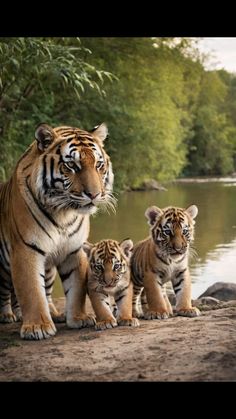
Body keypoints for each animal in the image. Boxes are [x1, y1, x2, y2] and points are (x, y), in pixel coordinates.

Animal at [0, 123, 114, 340]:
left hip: (49, 268)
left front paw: (79, 318)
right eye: (72, 166)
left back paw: (52, 313)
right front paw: (37, 327)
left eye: (98, 165)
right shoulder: (25, 250)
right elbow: (31, 290)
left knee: (46, 291)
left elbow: (76, 289)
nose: (94, 194)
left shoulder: (74, 250)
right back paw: (7, 316)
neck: (64, 213)